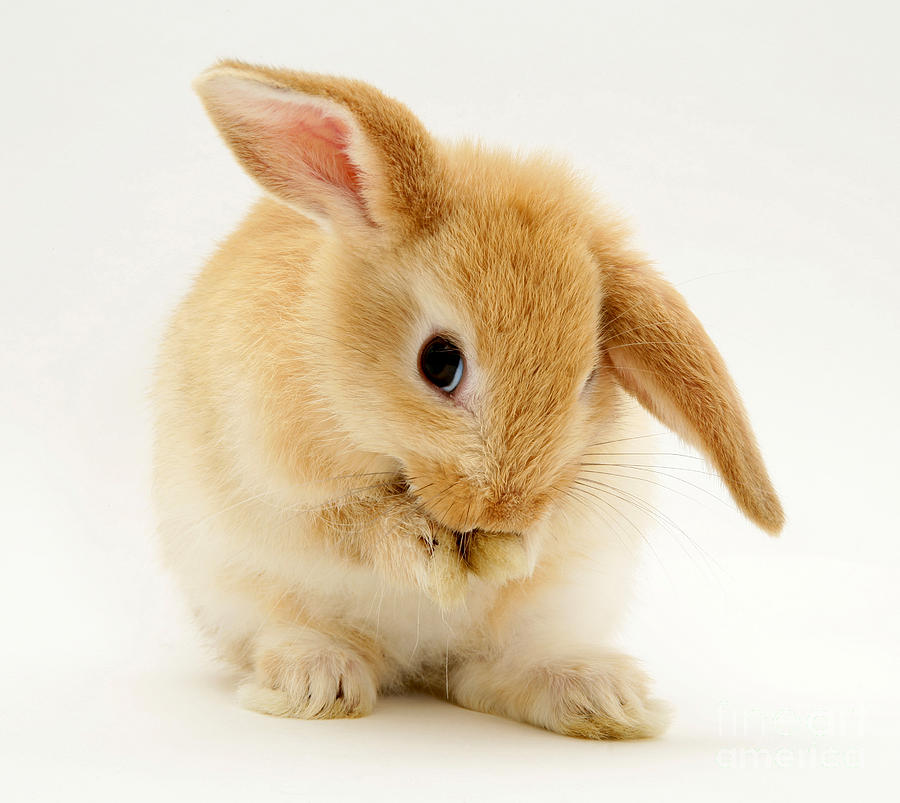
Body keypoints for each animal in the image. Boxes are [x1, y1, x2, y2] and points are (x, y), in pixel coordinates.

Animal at [155, 61, 780, 740]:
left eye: (590, 376)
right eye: (440, 362)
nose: (503, 509)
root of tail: (419, 662)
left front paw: (513, 552)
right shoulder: (283, 488)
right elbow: (357, 525)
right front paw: (433, 560)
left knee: (486, 676)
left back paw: (603, 698)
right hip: (246, 597)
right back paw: (318, 683)